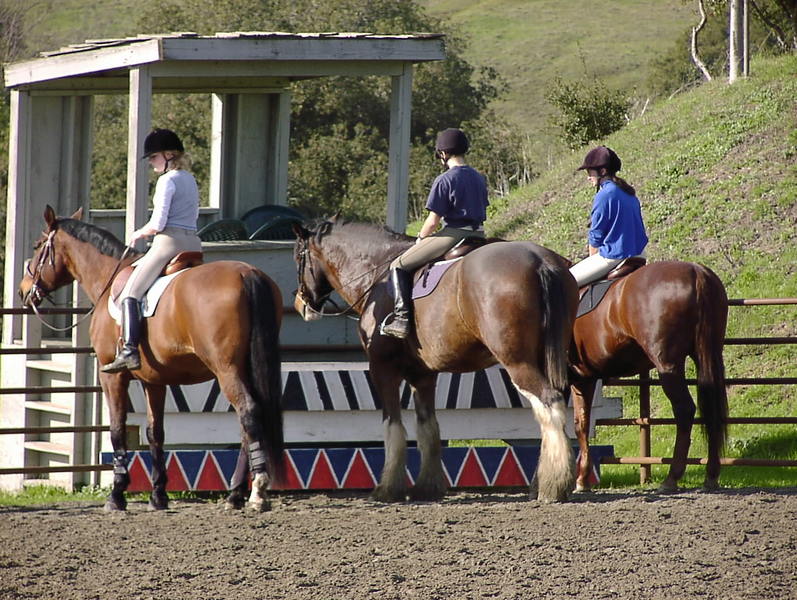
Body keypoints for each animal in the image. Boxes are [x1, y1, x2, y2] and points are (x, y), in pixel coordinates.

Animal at [18, 206, 285, 512]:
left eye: (37, 246)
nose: (24, 290)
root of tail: (246, 273)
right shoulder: (154, 380)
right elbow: (154, 431)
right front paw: (158, 495)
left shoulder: (112, 377)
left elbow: (117, 429)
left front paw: (117, 495)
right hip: (245, 368)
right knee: (248, 421)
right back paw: (235, 494)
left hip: (226, 369)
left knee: (248, 412)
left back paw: (257, 492)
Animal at [292, 216, 580, 503]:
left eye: (297, 257)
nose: (300, 305)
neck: (378, 271)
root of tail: (539, 260)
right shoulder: (423, 376)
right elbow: (428, 428)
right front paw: (427, 486)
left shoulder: (382, 369)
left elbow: (393, 426)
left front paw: (388, 488)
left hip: (518, 363)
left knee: (550, 403)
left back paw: (553, 485)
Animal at [569, 261, 729, 492]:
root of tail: (696, 271)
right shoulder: (585, 379)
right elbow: (580, 422)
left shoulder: (578, 380)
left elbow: (577, 425)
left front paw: (580, 480)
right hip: (709, 355)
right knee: (711, 409)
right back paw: (711, 475)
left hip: (667, 365)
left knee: (684, 410)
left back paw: (671, 478)